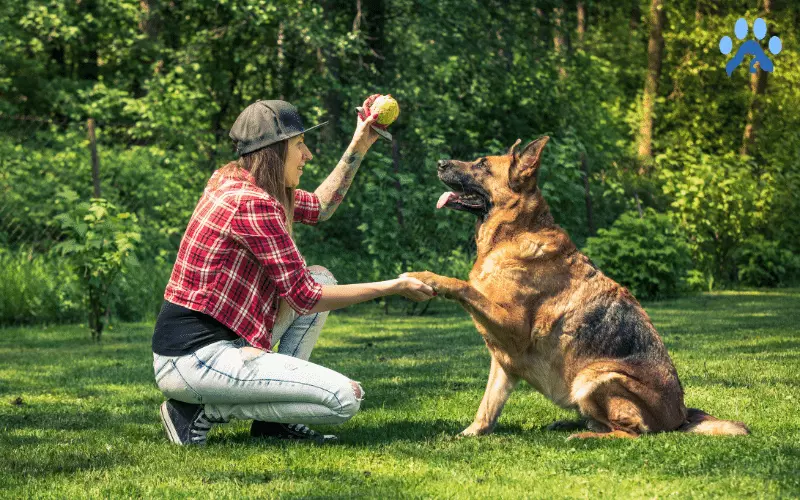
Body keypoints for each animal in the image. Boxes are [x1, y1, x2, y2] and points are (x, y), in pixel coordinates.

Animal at [406, 137, 752, 438]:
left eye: (482, 164)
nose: (439, 163)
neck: (513, 233)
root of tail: (680, 418)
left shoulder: (513, 327)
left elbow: (464, 286)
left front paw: (429, 277)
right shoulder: (504, 361)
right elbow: (487, 407)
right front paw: (470, 434)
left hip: (594, 377)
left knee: (629, 433)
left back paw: (583, 436)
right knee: (603, 423)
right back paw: (571, 424)